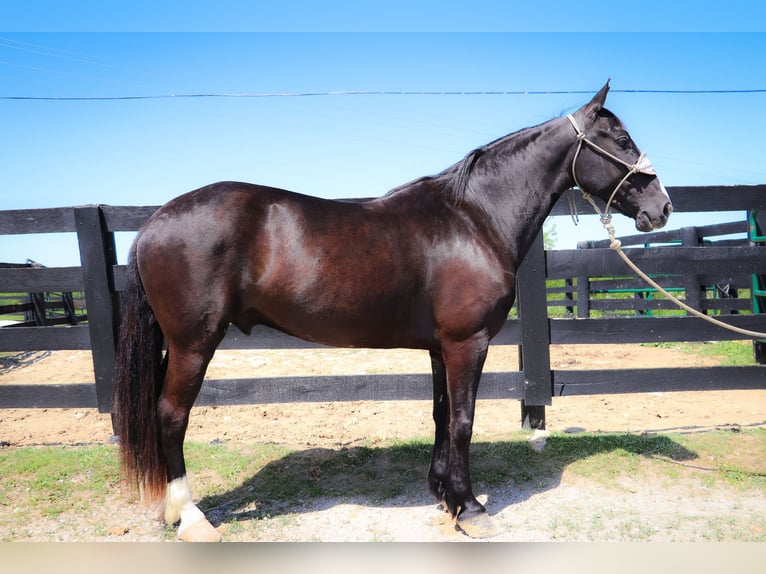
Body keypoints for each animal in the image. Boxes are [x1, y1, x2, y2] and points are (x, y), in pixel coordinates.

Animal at [112, 83, 672, 544]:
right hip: (194, 342)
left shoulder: (441, 347)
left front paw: (444, 496)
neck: (474, 219)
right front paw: (472, 510)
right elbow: (464, 421)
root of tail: (154, 222)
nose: (662, 207)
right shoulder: (468, 342)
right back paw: (191, 518)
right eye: (621, 139)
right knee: (172, 415)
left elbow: (442, 416)